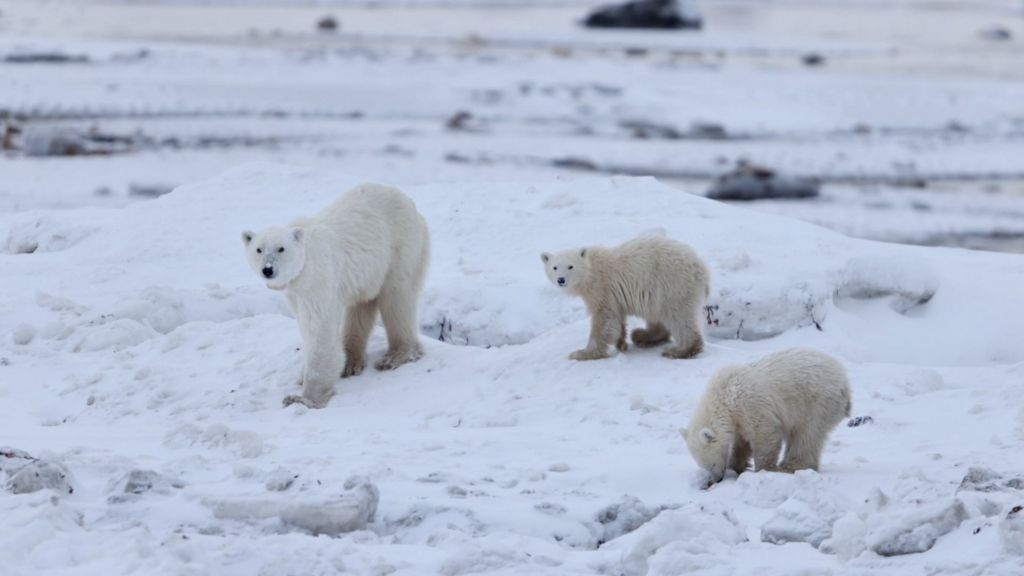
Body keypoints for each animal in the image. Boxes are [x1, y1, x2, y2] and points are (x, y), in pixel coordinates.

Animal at [242, 183, 430, 408]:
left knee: (397, 298)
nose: (268, 270)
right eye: (259, 249)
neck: (305, 266)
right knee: (361, 305)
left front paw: (304, 398)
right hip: (369, 272)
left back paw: (395, 356)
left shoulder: (319, 280)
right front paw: (302, 377)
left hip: (401, 247)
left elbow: (319, 328)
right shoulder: (296, 294)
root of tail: (410, 203)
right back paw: (351, 362)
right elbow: (305, 326)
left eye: (281, 249)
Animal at [540, 236, 709, 360]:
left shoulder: (602, 289)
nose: (561, 280)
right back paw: (643, 336)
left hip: (673, 284)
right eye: (555, 267)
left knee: (679, 316)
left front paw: (582, 353)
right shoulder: (614, 296)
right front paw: (620, 343)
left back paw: (680, 350)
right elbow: (617, 318)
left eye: (570, 266)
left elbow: (603, 320)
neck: (591, 271)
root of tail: (702, 267)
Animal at [682, 347, 852, 487]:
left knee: (806, 435)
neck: (724, 395)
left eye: (711, 464)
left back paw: (791, 466)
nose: (717, 479)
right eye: (703, 466)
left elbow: (764, 434)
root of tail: (845, 383)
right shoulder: (738, 420)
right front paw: (737, 466)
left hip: (816, 402)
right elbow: (741, 443)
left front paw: (763, 469)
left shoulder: (750, 405)